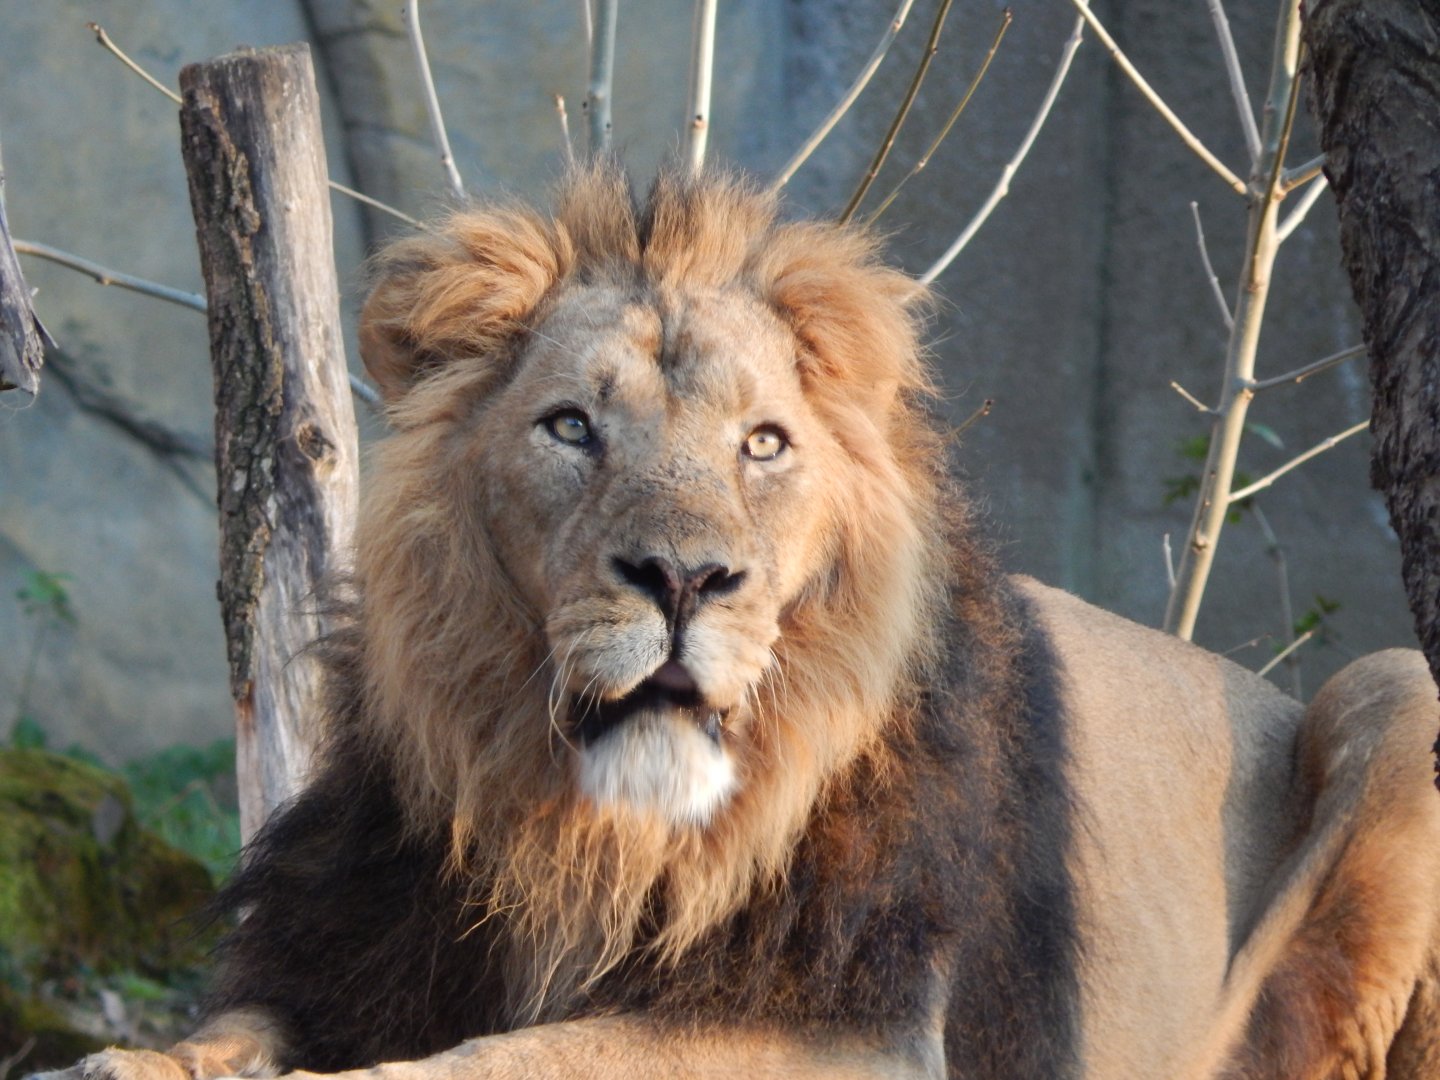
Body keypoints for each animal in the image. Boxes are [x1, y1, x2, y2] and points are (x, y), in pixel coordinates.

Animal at [37, 165, 1440, 1079]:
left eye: (762, 443)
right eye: (570, 427)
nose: (681, 578)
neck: (592, 838)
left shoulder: (852, 1028)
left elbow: (505, 1058)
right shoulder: (346, 938)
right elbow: (234, 1029)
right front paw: (126, 1063)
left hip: (1393, 684)